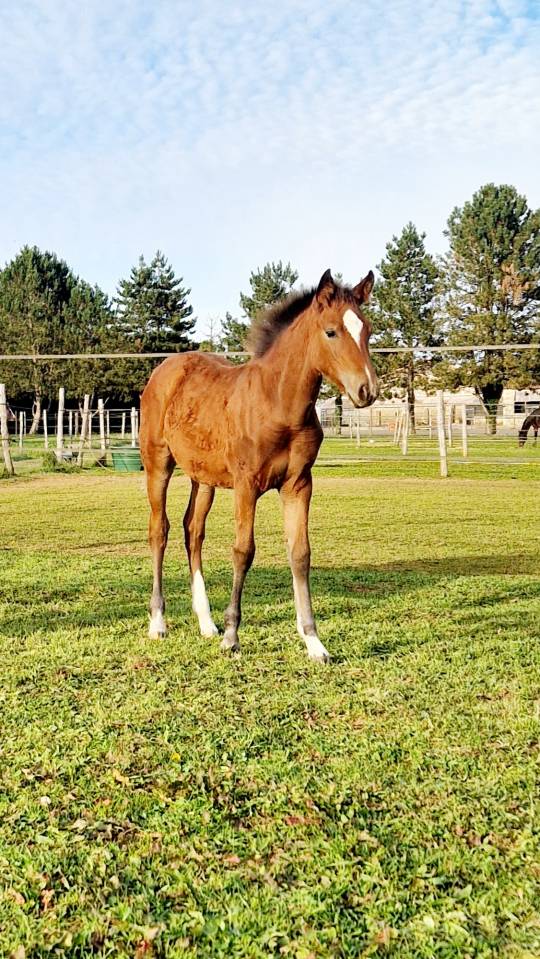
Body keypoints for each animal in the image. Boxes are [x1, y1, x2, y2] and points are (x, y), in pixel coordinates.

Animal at [139, 269, 378, 663]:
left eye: (367, 331)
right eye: (331, 331)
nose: (367, 390)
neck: (278, 403)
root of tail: (166, 368)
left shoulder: (299, 484)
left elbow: (300, 553)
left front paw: (314, 641)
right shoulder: (247, 484)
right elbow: (243, 551)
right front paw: (232, 637)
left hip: (203, 477)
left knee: (193, 531)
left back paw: (205, 623)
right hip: (158, 463)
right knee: (160, 529)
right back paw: (158, 622)